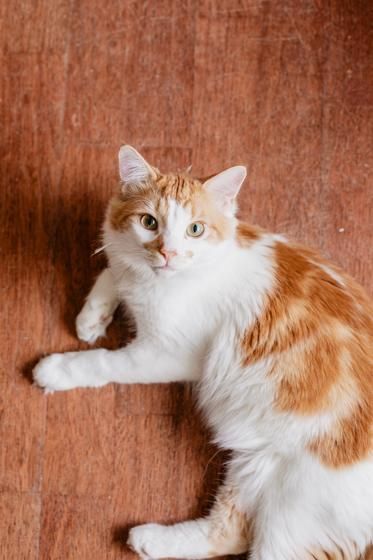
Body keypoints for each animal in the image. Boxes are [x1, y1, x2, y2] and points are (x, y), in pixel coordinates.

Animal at [33, 145, 372, 560]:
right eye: (149, 222)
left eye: (195, 229)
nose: (167, 252)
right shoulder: (125, 263)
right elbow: (112, 270)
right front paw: (90, 319)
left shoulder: (165, 353)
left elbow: (101, 362)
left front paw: (57, 369)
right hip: (253, 465)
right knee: (228, 532)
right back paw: (148, 539)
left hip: (293, 507)